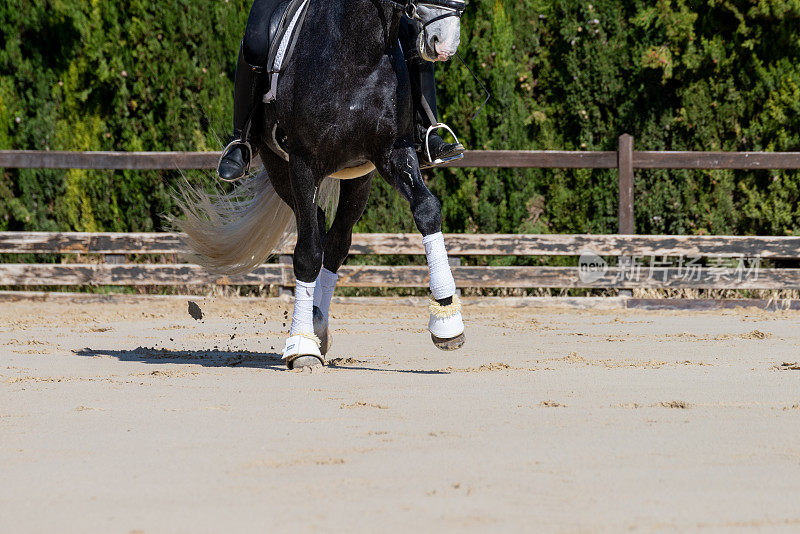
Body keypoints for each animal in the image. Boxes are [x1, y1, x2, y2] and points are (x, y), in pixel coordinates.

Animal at [172, 0, 466, 370]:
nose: (445, 42)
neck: (358, 53)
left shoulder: (393, 153)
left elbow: (426, 209)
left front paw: (447, 320)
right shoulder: (303, 163)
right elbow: (308, 253)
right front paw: (301, 347)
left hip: (359, 177)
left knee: (336, 241)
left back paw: (317, 322)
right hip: (280, 168)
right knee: (315, 228)